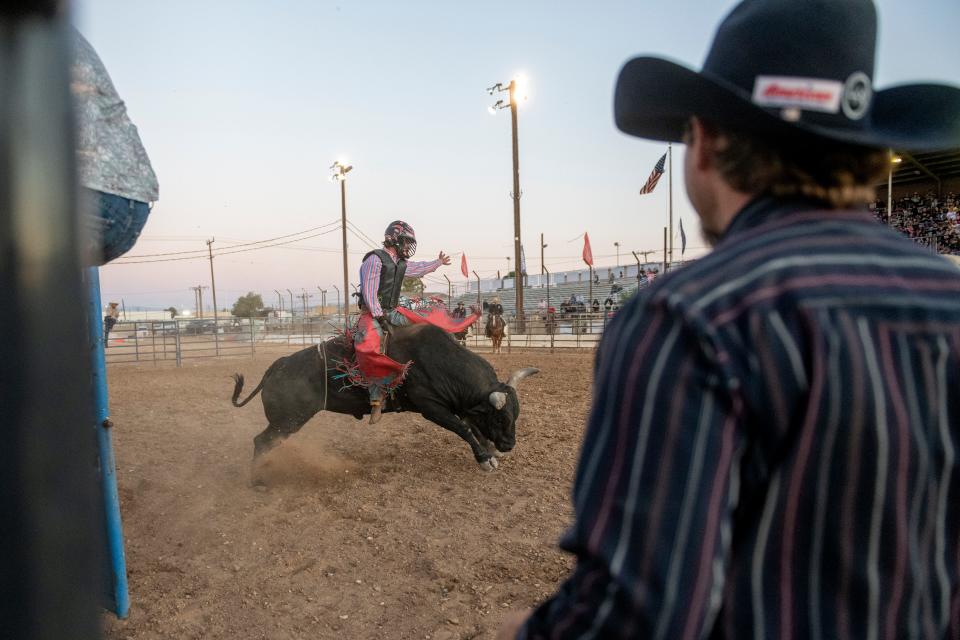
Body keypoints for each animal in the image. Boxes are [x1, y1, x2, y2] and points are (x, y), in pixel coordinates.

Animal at [229, 324, 536, 476]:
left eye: (515, 414)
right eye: (501, 417)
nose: (509, 445)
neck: (439, 360)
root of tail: (277, 366)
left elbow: (470, 426)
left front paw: (489, 451)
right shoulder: (431, 407)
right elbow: (462, 428)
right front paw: (485, 459)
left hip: (286, 421)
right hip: (287, 420)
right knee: (261, 442)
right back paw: (258, 478)